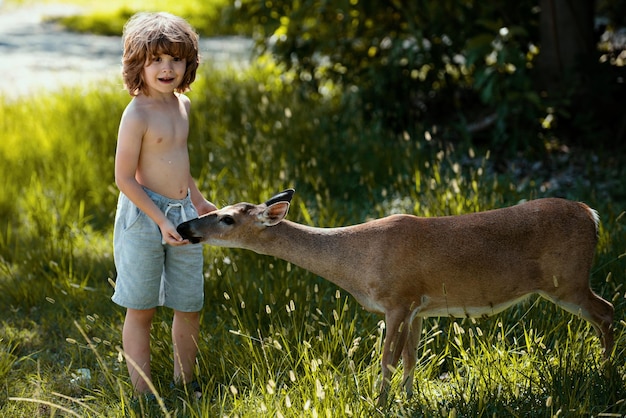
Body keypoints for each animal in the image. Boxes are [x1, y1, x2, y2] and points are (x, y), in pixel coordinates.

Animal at [177, 189, 616, 404]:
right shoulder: (419, 305)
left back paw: (605, 372)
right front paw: (409, 399)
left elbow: (386, 359)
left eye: (227, 218)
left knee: (607, 310)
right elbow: (410, 357)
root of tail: (591, 214)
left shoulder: (397, 300)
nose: (184, 227)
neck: (355, 259)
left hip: (568, 280)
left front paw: (380, 403)